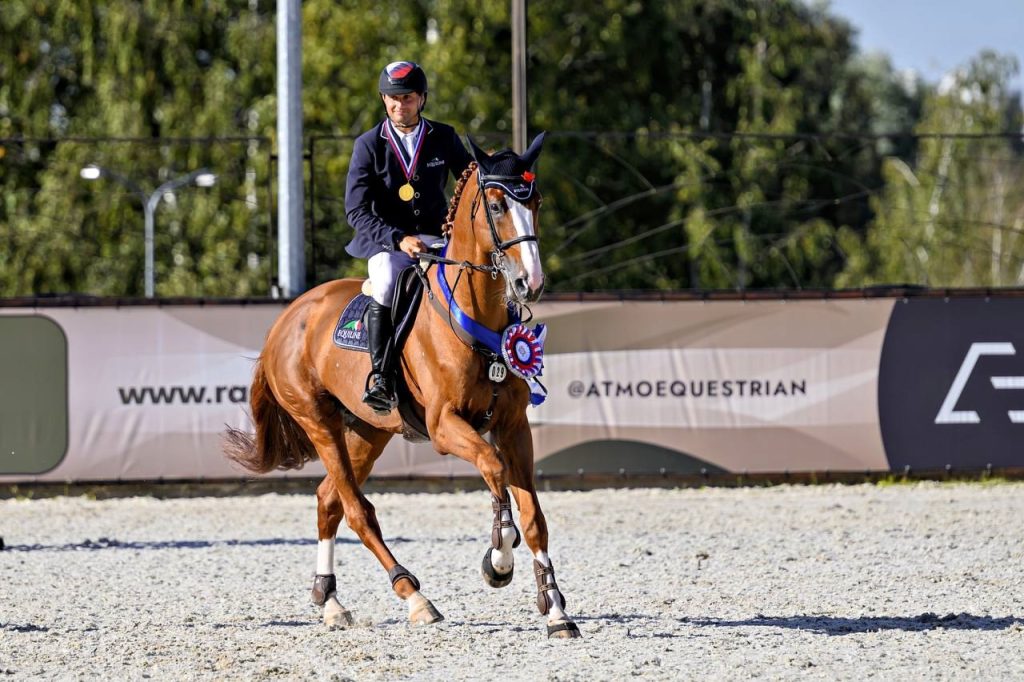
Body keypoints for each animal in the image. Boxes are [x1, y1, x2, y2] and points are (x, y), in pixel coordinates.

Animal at [224, 134, 581, 638]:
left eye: (537, 203)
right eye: (495, 205)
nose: (528, 283)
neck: (475, 315)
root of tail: (286, 319)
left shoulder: (513, 427)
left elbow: (534, 518)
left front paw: (555, 610)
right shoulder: (445, 426)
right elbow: (493, 470)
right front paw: (498, 560)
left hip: (369, 431)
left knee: (329, 499)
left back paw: (330, 600)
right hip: (319, 421)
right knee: (357, 509)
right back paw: (415, 596)